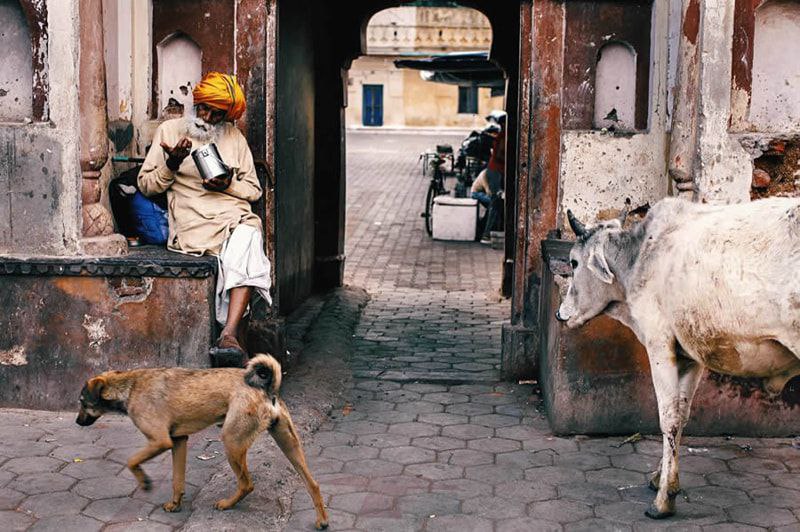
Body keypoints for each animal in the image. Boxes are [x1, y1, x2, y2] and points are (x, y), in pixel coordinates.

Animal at [73, 354, 326, 528]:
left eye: (82, 402)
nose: (77, 422)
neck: (130, 387)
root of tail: (267, 387)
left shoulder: (160, 441)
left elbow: (131, 461)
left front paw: (144, 482)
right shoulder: (178, 441)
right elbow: (177, 480)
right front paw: (175, 504)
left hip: (232, 442)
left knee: (247, 483)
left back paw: (227, 504)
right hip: (288, 443)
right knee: (313, 483)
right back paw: (322, 520)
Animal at [556, 197, 800, 516]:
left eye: (574, 262)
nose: (561, 314)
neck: (640, 257)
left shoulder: (659, 344)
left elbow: (668, 418)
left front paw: (663, 500)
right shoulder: (691, 355)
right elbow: (682, 415)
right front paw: (661, 478)